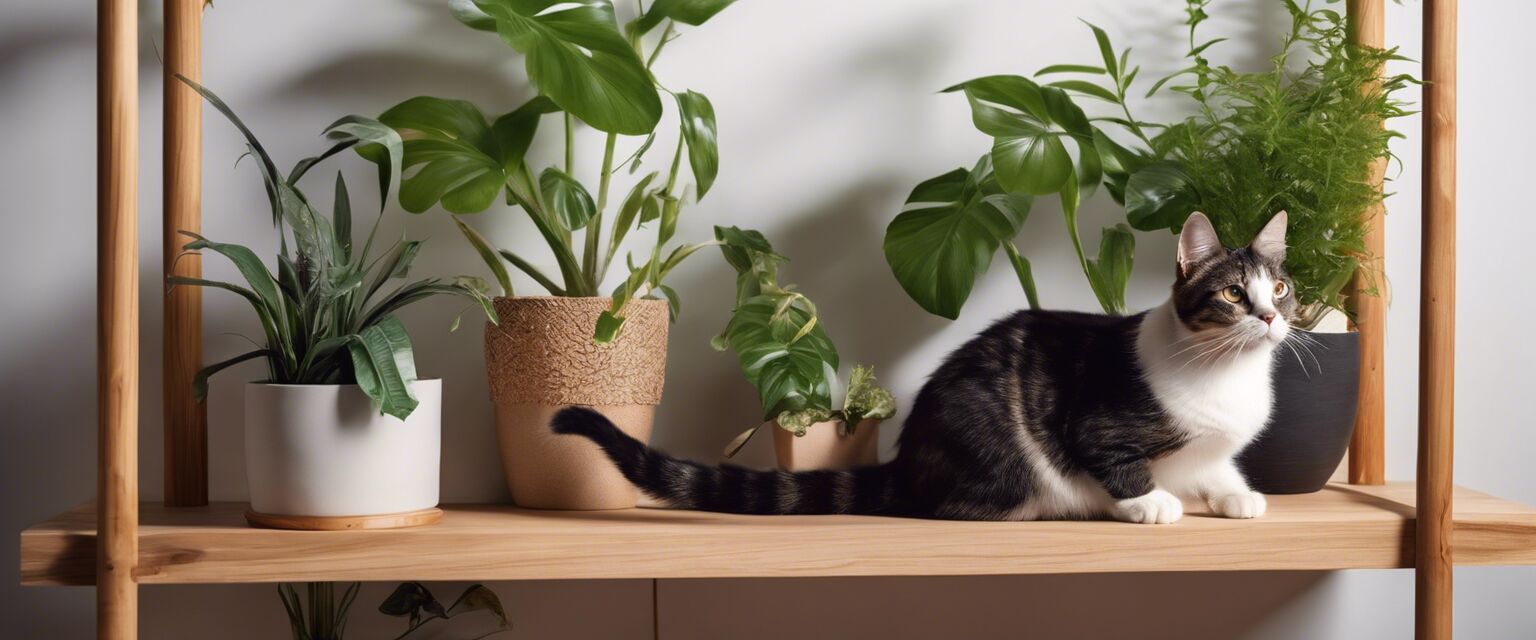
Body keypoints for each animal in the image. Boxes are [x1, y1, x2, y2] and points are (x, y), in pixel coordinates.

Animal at [552, 211, 1296, 521]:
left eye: (1281, 288)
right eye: (1234, 294)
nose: (1270, 317)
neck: (1225, 375)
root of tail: (909, 460)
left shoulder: (1217, 445)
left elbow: (1218, 465)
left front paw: (1235, 494)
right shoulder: (1099, 422)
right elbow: (1116, 460)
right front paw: (1150, 503)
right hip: (1003, 458)